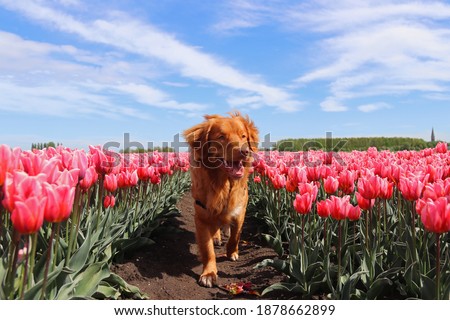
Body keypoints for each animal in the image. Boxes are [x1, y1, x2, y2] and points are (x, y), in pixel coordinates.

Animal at [183, 110, 258, 288]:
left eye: (243, 136)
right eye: (221, 137)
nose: (245, 151)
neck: (223, 184)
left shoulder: (240, 212)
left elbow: (235, 236)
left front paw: (232, 253)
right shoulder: (202, 218)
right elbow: (207, 249)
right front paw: (209, 273)